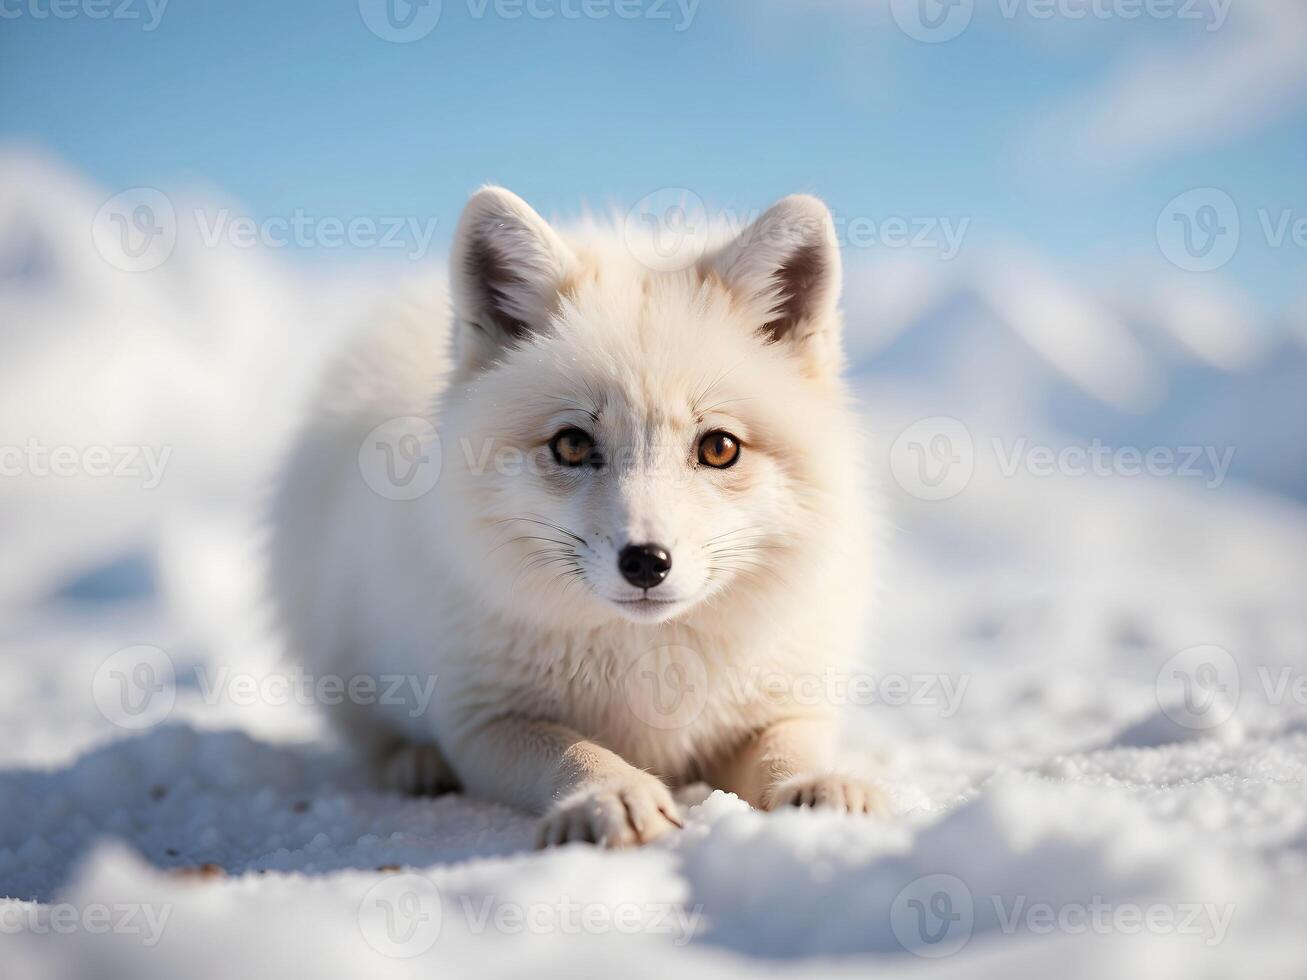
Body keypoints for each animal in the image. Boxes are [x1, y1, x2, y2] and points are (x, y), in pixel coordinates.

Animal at [266, 188, 883, 846]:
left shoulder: (786, 704)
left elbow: (788, 751)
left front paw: (820, 789)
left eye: (720, 448)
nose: (646, 562)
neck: (645, 663)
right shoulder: (484, 718)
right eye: (571, 445)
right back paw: (416, 764)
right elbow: (575, 752)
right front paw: (613, 794)